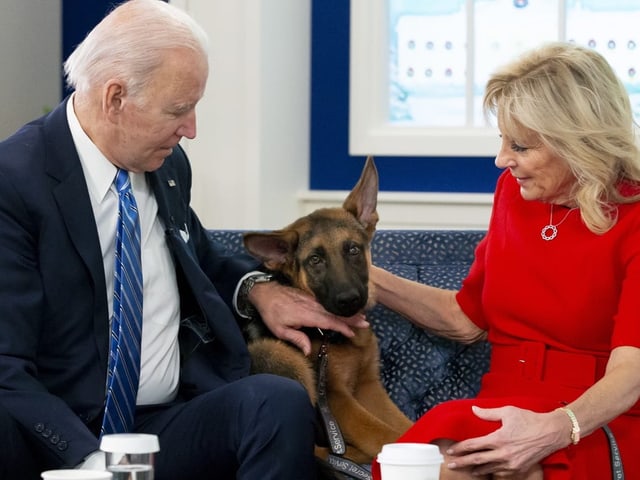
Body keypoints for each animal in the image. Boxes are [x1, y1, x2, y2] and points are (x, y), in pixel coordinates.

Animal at [242, 158, 412, 464]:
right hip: (278, 354)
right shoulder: (336, 398)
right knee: (313, 449)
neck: (330, 334)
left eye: (353, 250)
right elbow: (385, 434)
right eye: (315, 260)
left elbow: (403, 424)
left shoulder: (368, 386)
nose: (349, 300)